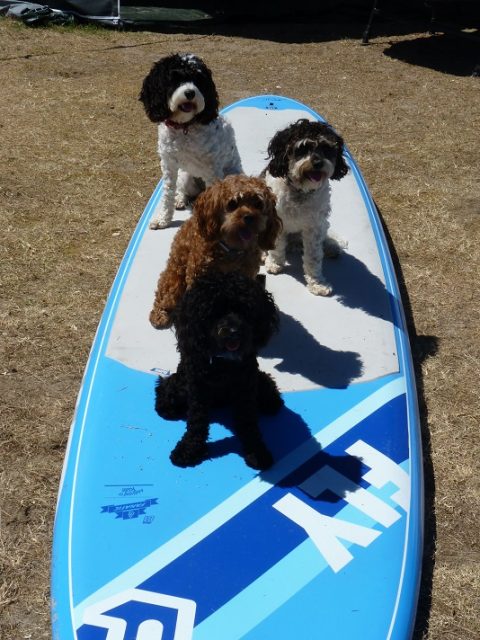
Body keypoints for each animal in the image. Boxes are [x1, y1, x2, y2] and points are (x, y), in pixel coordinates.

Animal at [140, 53, 244, 230]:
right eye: (174, 78)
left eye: (198, 79)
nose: (190, 93)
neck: (184, 127)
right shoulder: (169, 164)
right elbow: (167, 193)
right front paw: (163, 220)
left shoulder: (212, 171)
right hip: (185, 176)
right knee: (183, 192)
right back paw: (180, 200)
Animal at [150, 174, 282, 330]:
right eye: (232, 204)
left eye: (258, 204)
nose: (250, 217)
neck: (231, 250)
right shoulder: (198, 277)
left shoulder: (245, 279)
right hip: (175, 279)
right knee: (164, 294)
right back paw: (160, 315)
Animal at [154, 270, 284, 470]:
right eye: (213, 311)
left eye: (245, 309)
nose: (233, 331)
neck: (223, 362)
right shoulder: (197, 387)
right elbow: (197, 421)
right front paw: (189, 450)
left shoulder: (246, 386)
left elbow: (248, 420)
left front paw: (256, 451)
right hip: (180, 384)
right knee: (164, 388)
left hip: (258, 381)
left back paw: (271, 402)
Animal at [262, 119, 348, 296]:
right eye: (302, 148)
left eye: (326, 148)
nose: (318, 163)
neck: (301, 191)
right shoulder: (277, 220)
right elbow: (277, 247)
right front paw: (275, 263)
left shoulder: (314, 227)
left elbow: (313, 257)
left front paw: (317, 283)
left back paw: (331, 246)